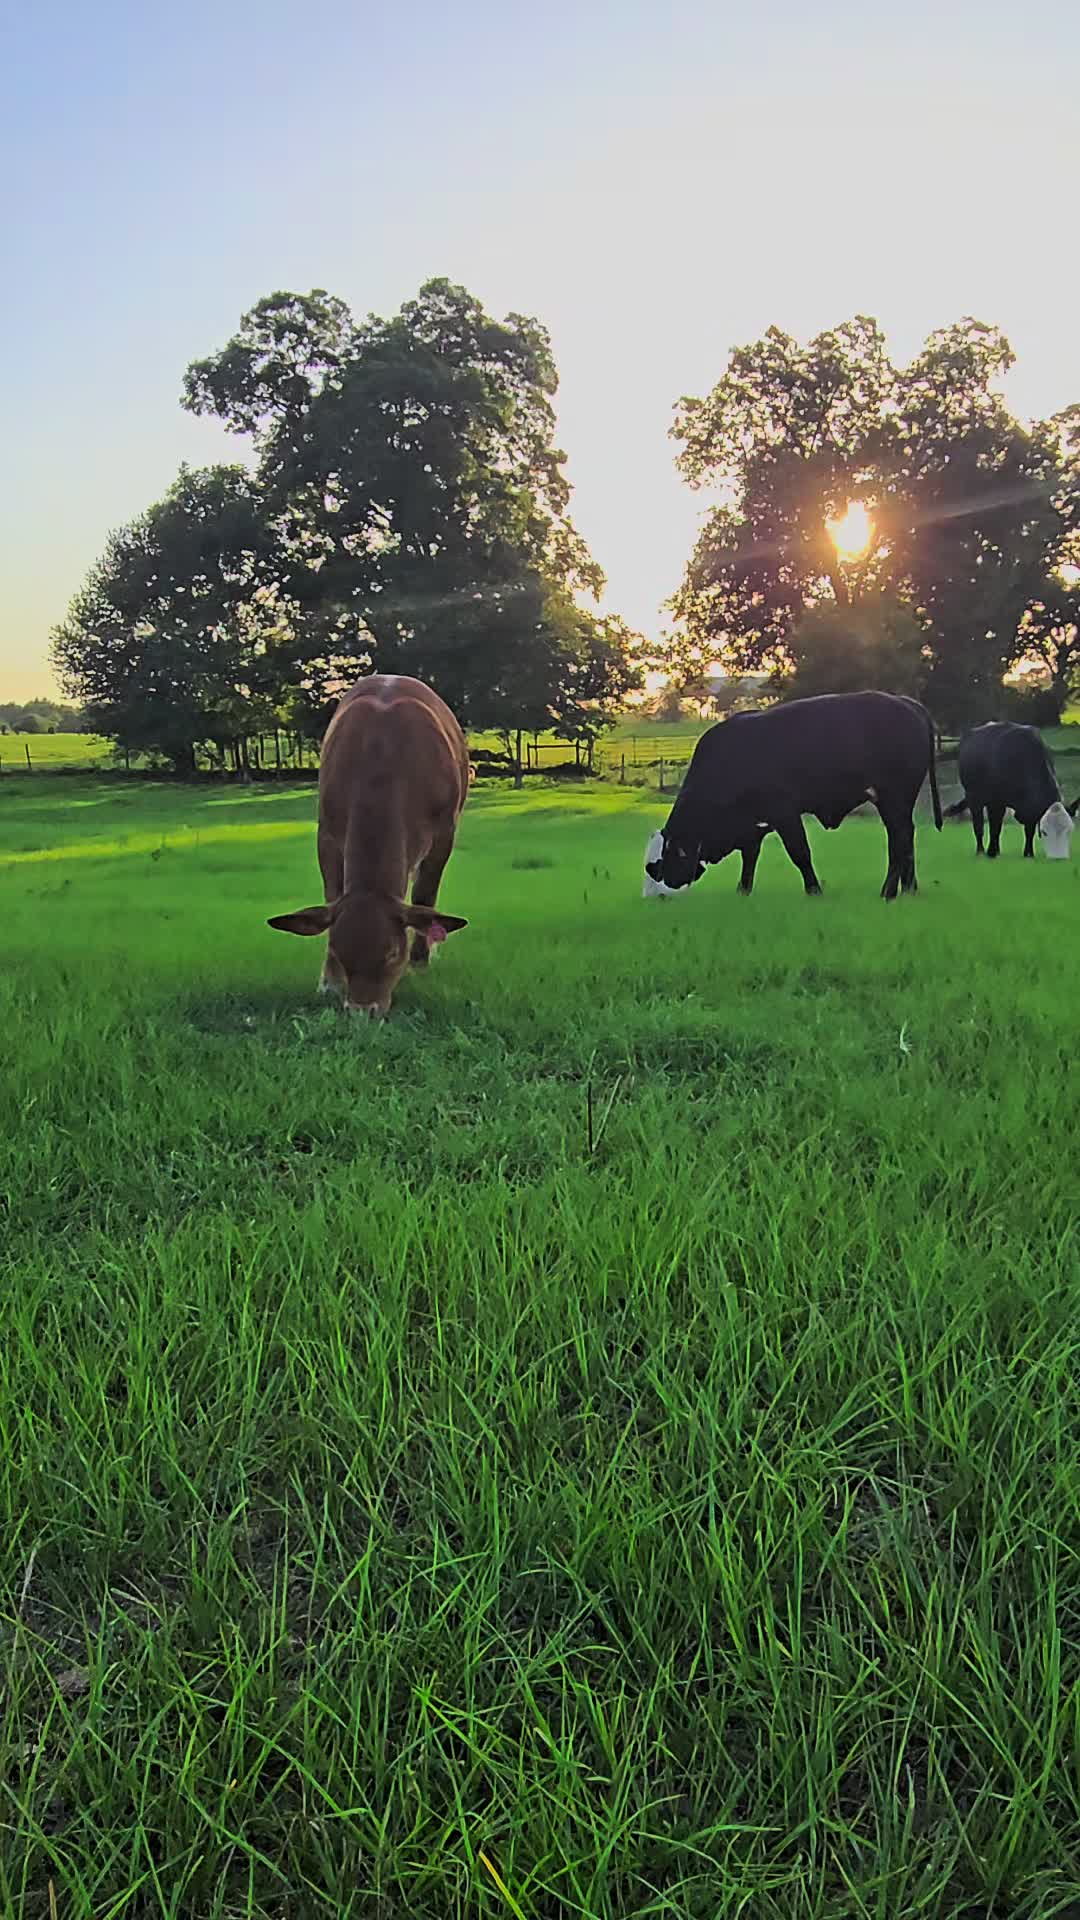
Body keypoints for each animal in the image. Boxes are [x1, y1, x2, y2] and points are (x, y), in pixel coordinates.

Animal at [268, 675, 470, 1017]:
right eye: (337, 950)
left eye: (392, 953)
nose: (363, 1010)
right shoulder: (327, 829)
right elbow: (332, 894)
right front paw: (329, 982)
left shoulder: (445, 828)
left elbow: (426, 896)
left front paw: (421, 961)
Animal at [643, 690, 942, 902]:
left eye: (657, 866)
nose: (652, 897)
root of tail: (905, 701)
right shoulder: (752, 824)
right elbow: (749, 857)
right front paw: (743, 891)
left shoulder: (784, 814)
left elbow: (800, 853)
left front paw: (814, 890)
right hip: (898, 803)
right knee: (905, 838)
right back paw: (909, 888)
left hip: (893, 799)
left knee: (899, 838)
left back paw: (888, 892)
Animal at [943, 721, 1078, 860]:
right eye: (1044, 831)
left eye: (1070, 830)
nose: (1059, 858)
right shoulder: (997, 801)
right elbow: (994, 827)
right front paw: (991, 853)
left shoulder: (1029, 808)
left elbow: (1028, 830)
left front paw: (1028, 854)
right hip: (974, 797)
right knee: (979, 825)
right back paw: (981, 851)